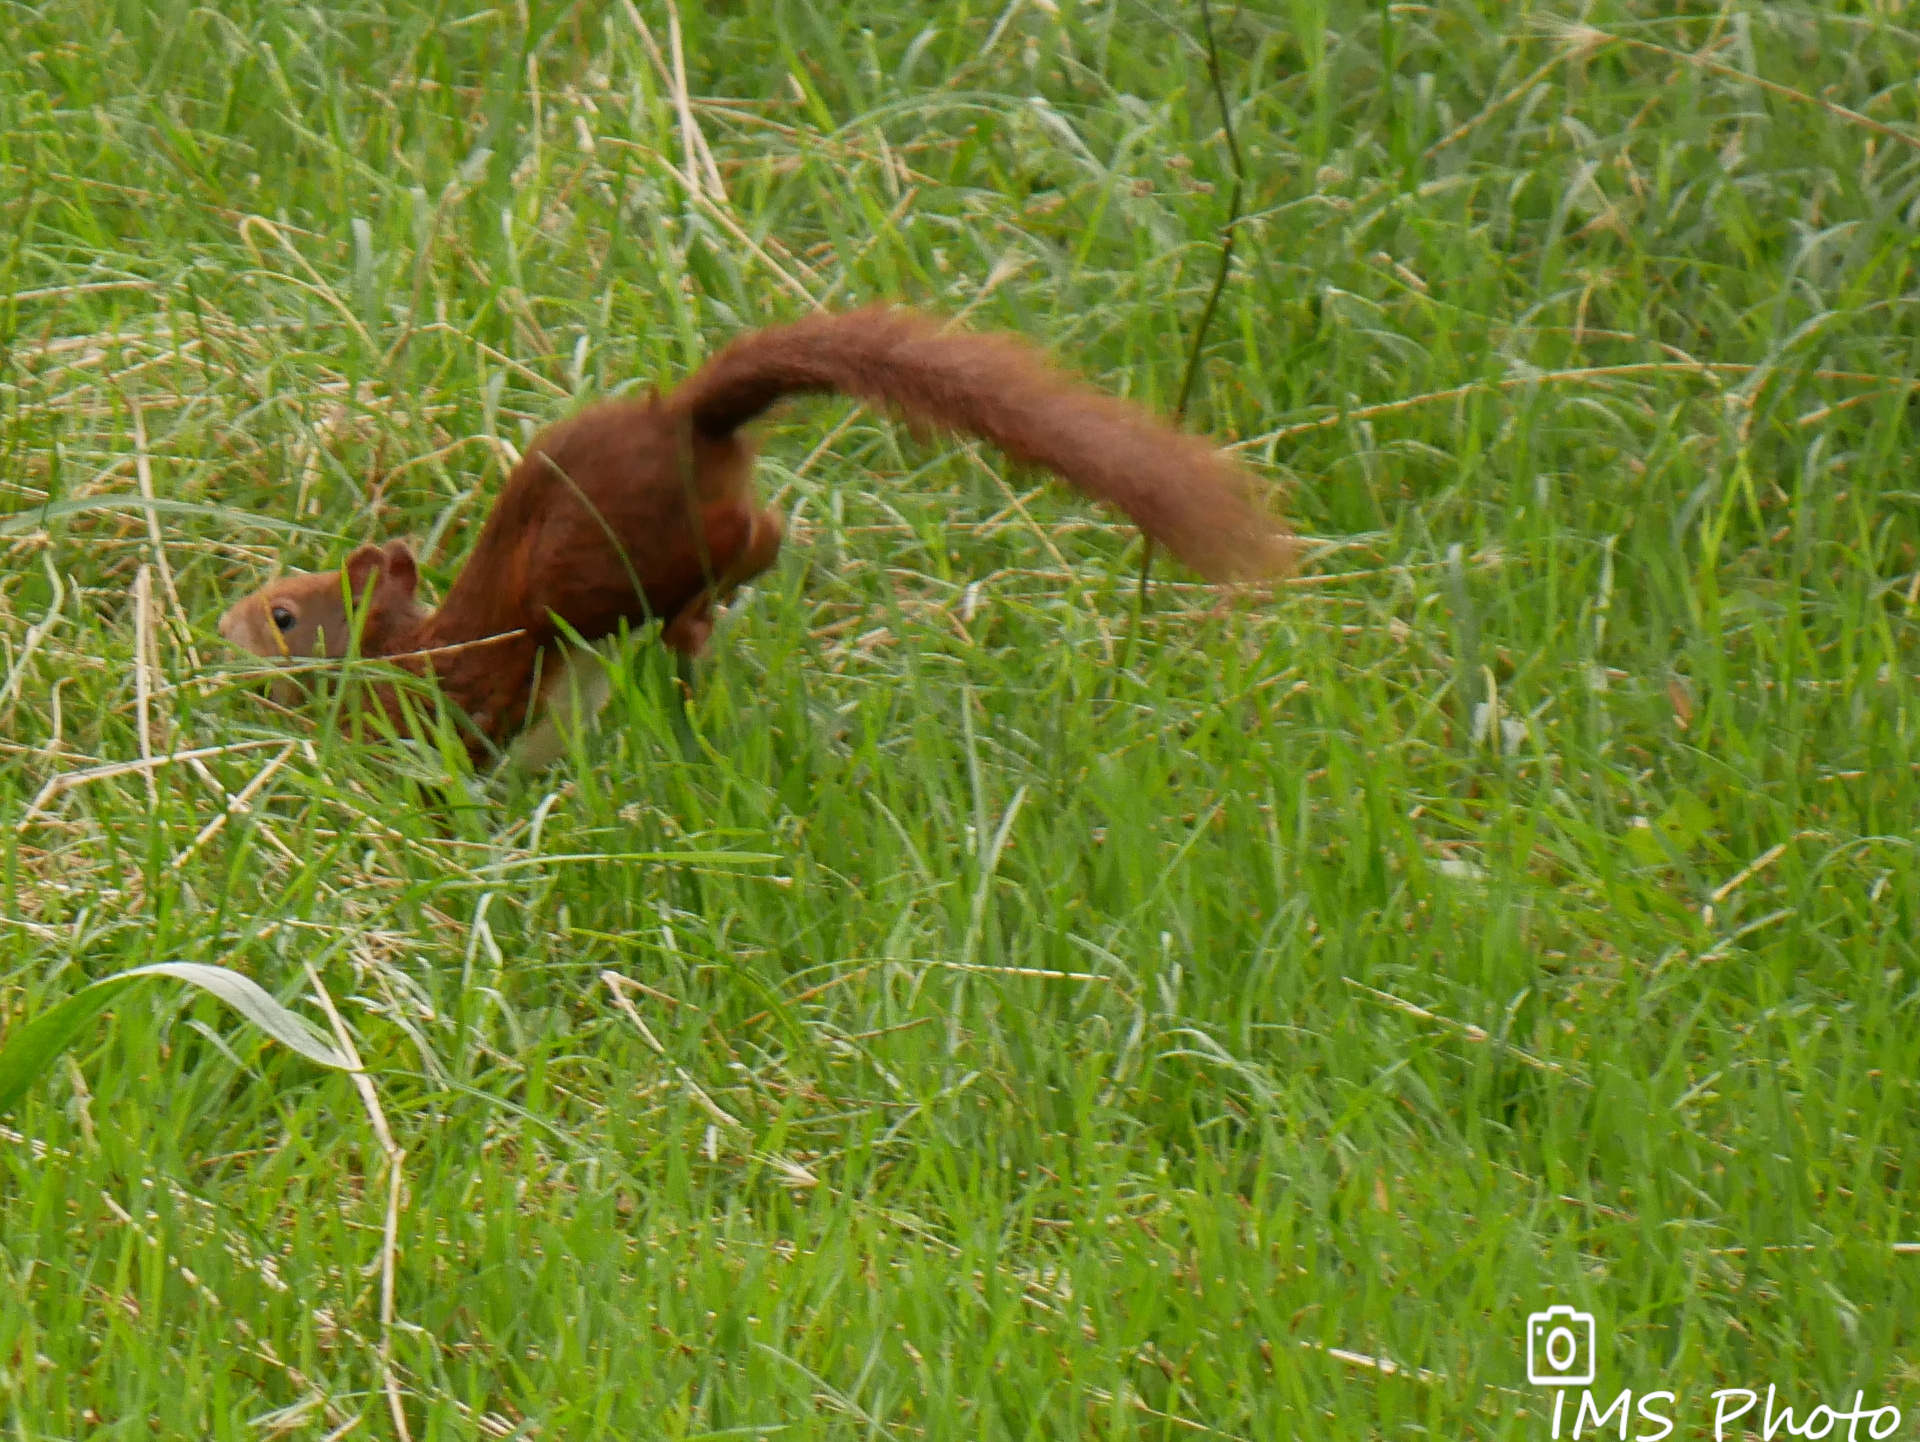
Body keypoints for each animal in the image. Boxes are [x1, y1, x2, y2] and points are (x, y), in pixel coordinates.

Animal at [220, 305, 1290, 768]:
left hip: (607, 563)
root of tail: (684, 419)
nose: (221, 628)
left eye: (284, 615)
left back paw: (699, 628)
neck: (402, 646)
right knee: (762, 534)